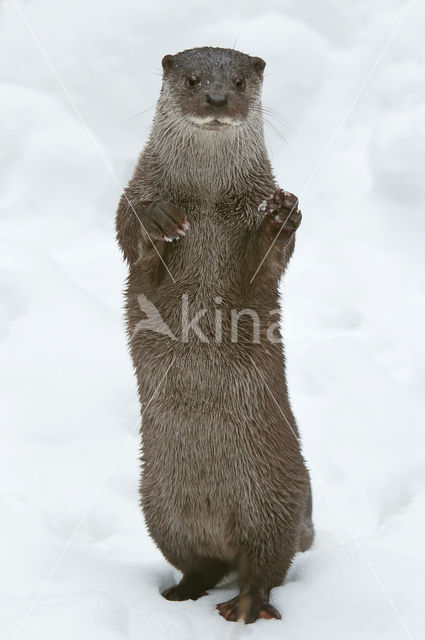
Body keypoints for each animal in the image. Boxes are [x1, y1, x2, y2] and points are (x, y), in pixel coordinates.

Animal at [115, 46, 312, 624]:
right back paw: (179, 593)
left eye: (241, 80)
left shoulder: (255, 221)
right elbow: (132, 237)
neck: (205, 200)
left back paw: (247, 606)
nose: (219, 98)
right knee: (198, 563)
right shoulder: (135, 192)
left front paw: (283, 215)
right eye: (192, 78)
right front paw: (160, 219)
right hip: (158, 508)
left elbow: (267, 266)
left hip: (275, 500)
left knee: (266, 566)